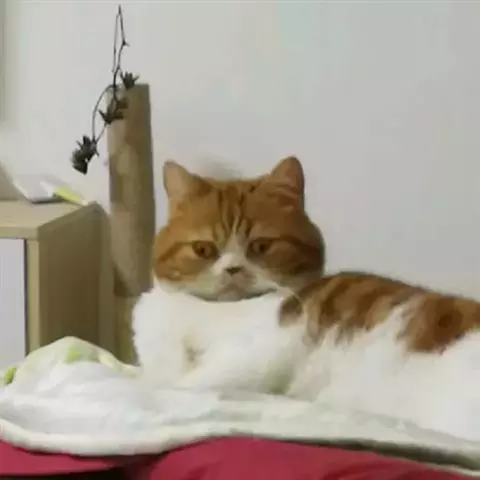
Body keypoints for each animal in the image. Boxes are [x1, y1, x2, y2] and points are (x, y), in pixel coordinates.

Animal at [133, 157, 480, 442]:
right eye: (203, 249)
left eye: (261, 246)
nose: (233, 269)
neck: (206, 311)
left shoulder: (267, 348)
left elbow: (185, 384)